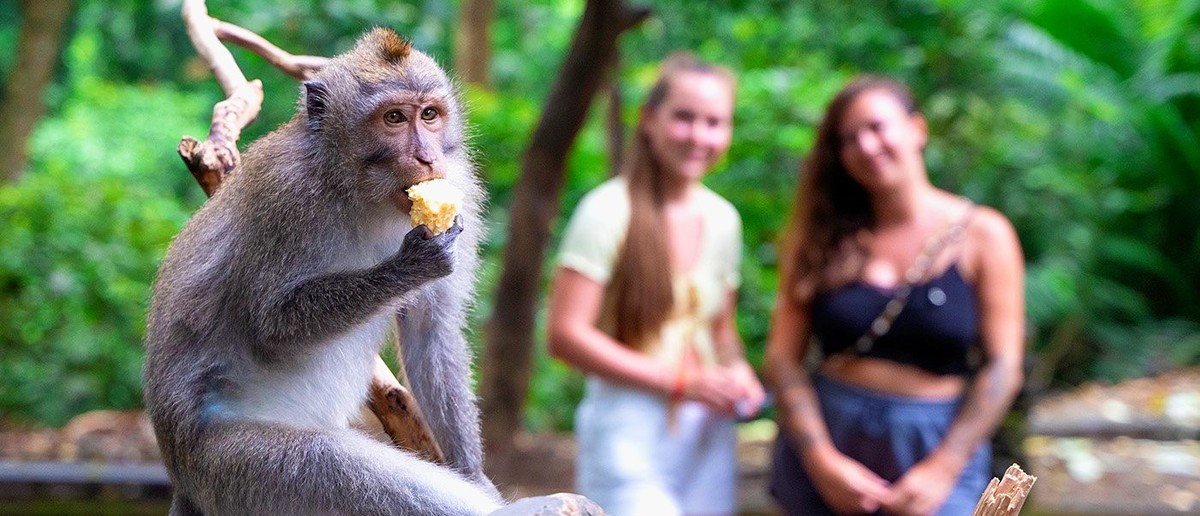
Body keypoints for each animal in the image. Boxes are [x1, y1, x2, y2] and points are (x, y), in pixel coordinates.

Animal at [142, 28, 503, 515]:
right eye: (394, 118)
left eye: (429, 115)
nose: (428, 158)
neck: (360, 190)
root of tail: (180, 474)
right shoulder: (286, 195)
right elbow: (271, 323)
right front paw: (409, 266)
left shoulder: (459, 185)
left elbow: (432, 330)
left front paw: (473, 471)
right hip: (231, 466)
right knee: (350, 473)